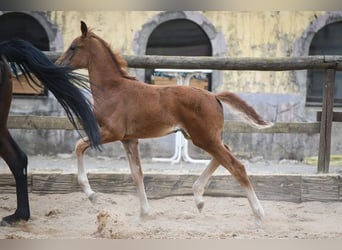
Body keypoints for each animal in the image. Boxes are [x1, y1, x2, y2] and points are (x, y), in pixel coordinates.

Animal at [57, 22, 274, 225]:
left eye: (73, 47)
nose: (57, 66)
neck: (113, 90)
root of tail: (214, 96)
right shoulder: (129, 139)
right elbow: (137, 174)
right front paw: (143, 215)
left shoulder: (112, 132)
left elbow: (79, 146)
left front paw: (91, 194)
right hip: (203, 137)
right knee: (224, 155)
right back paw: (198, 198)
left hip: (204, 138)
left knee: (236, 166)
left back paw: (258, 215)